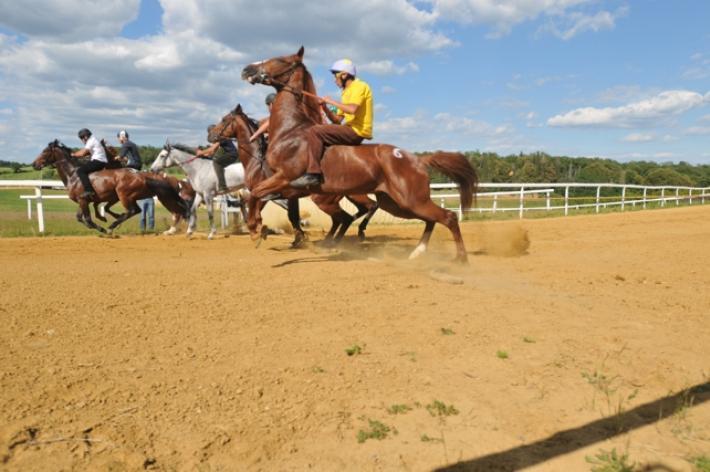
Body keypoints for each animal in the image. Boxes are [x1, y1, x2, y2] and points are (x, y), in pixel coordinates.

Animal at [32, 140, 191, 236]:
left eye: (45, 151)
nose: (34, 164)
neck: (73, 175)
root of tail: (142, 176)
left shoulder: (85, 200)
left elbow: (88, 219)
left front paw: (103, 229)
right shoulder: (84, 201)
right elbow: (81, 217)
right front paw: (103, 221)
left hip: (125, 195)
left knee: (135, 210)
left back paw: (112, 226)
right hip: (159, 197)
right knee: (178, 211)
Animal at [209, 103, 382, 243]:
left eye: (224, 119)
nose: (210, 135)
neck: (256, 159)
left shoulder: (264, 194)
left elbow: (254, 207)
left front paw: (257, 230)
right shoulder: (286, 196)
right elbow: (291, 216)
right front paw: (298, 238)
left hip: (325, 199)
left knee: (349, 216)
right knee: (358, 212)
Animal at [242, 47, 482, 262]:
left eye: (280, 59)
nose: (247, 69)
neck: (291, 132)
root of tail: (416, 159)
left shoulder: (285, 178)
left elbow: (255, 193)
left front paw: (255, 229)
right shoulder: (287, 188)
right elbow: (255, 196)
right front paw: (260, 229)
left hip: (411, 200)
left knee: (449, 217)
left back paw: (460, 259)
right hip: (396, 204)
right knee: (431, 220)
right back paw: (417, 253)